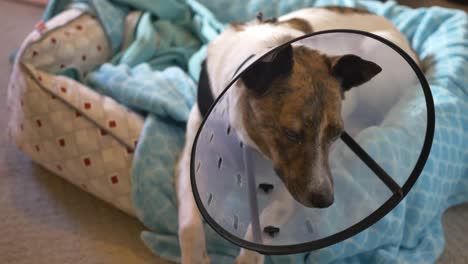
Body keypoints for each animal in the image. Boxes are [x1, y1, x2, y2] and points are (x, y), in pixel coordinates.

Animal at [175, 6, 416, 264]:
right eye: (291, 133)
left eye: (336, 134)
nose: (325, 201)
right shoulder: (190, 159)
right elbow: (188, 222)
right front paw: (195, 256)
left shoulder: (292, 186)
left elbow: (265, 221)